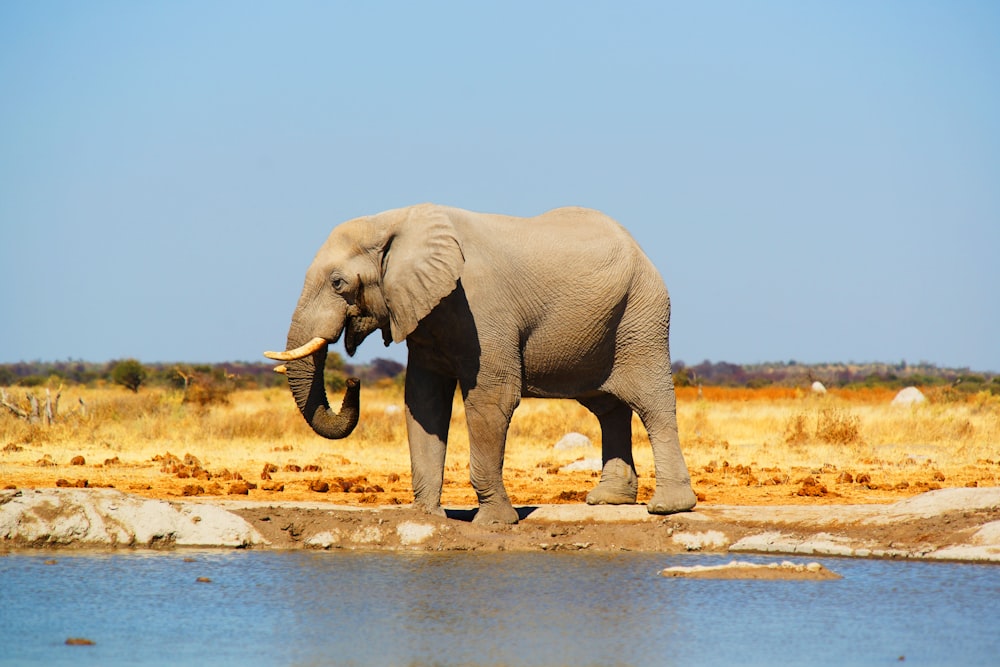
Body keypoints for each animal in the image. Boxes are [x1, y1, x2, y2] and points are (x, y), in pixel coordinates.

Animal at [266, 201, 696, 524]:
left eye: (338, 283)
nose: (353, 382)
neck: (394, 221)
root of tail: (640, 248)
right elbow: (424, 401)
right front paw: (427, 517)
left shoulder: (482, 308)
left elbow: (491, 400)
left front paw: (495, 523)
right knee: (608, 408)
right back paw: (608, 500)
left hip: (642, 316)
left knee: (653, 403)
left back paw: (667, 508)